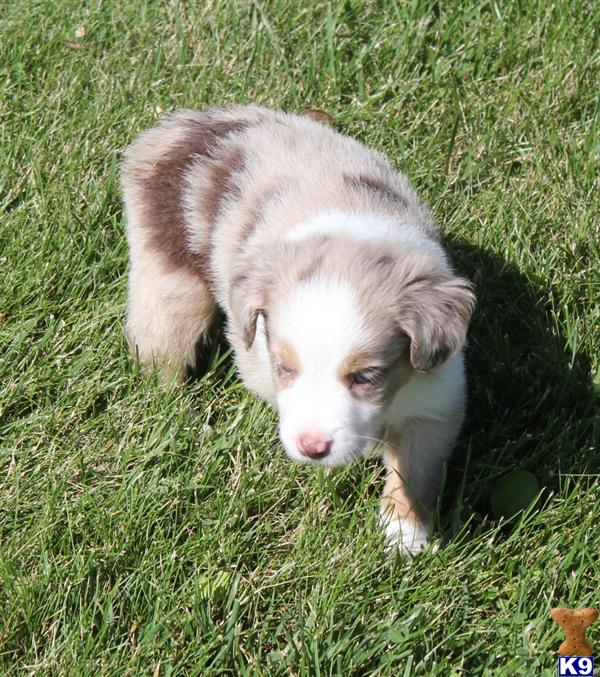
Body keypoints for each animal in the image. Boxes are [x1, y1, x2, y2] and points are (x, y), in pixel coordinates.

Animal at [122, 105, 476, 556]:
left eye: (365, 377)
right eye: (285, 368)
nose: (312, 448)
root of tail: (185, 122)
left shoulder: (437, 397)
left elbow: (414, 472)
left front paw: (404, 537)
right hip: (168, 277)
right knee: (160, 337)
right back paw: (171, 405)